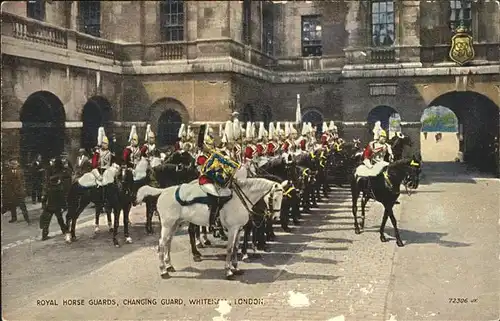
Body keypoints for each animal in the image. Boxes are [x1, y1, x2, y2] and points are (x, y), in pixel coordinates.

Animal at [137, 176, 284, 278]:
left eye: (282, 198)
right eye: (274, 198)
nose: (275, 218)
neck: (239, 199)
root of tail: (164, 191)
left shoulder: (238, 229)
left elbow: (235, 248)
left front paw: (236, 268)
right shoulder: (232, 229)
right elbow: (230, 249)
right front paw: (228, 271)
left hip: (174, 224)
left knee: (168, 242)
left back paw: (169, 266)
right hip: (167, 225)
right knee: (162, 244)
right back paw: (163, 271)